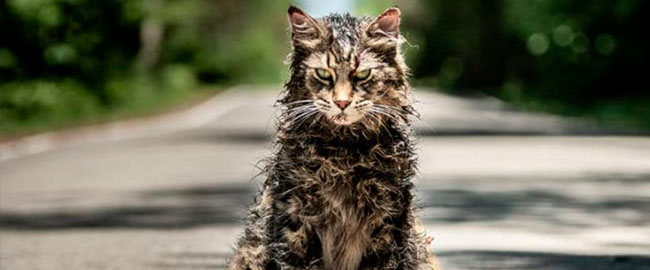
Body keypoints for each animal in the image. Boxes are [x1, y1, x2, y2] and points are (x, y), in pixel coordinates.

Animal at [228, 5, 436, 270]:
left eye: (363, 74)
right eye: (323, 74)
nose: (342, 102)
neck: (344, 151)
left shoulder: (387, 217)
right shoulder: (295, 214)